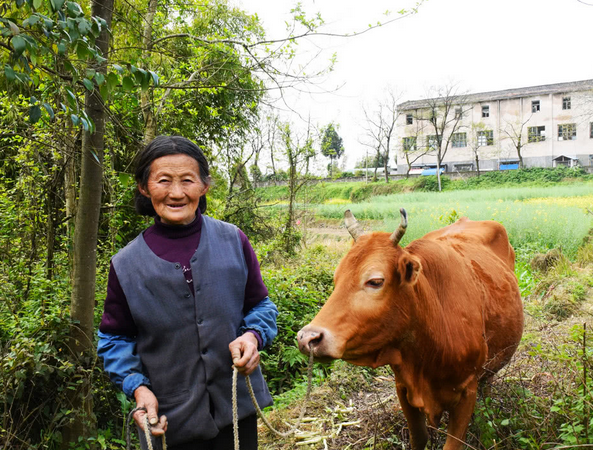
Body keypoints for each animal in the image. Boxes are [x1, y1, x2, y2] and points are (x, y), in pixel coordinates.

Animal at [296, 209, 524, 448]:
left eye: (375, 281)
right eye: (336, 278)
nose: (307, 338)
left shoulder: (467, 390)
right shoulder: (403, 386)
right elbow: (419, 436)